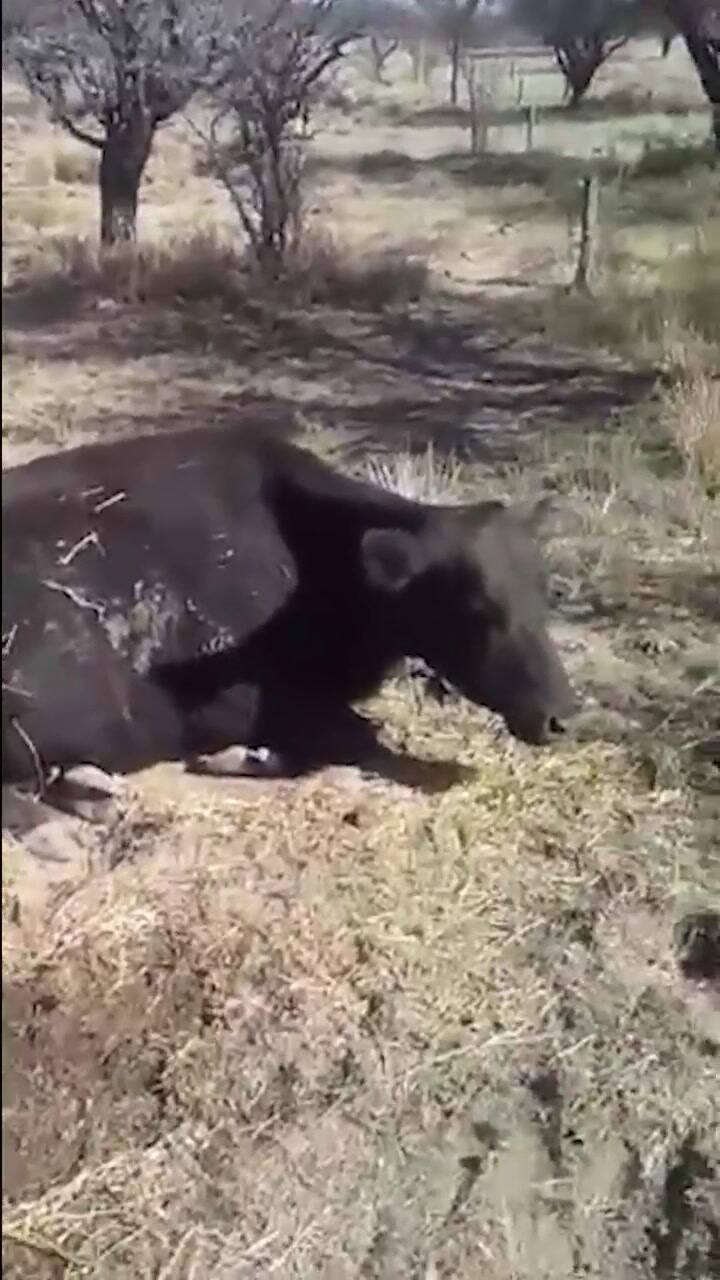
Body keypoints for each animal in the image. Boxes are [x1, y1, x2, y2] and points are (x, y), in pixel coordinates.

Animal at [2, 425, 577, 810]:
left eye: (543, 593)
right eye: (476, 607)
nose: (563, 717)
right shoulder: (229, 703)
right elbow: (347, 734)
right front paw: (243, 758)